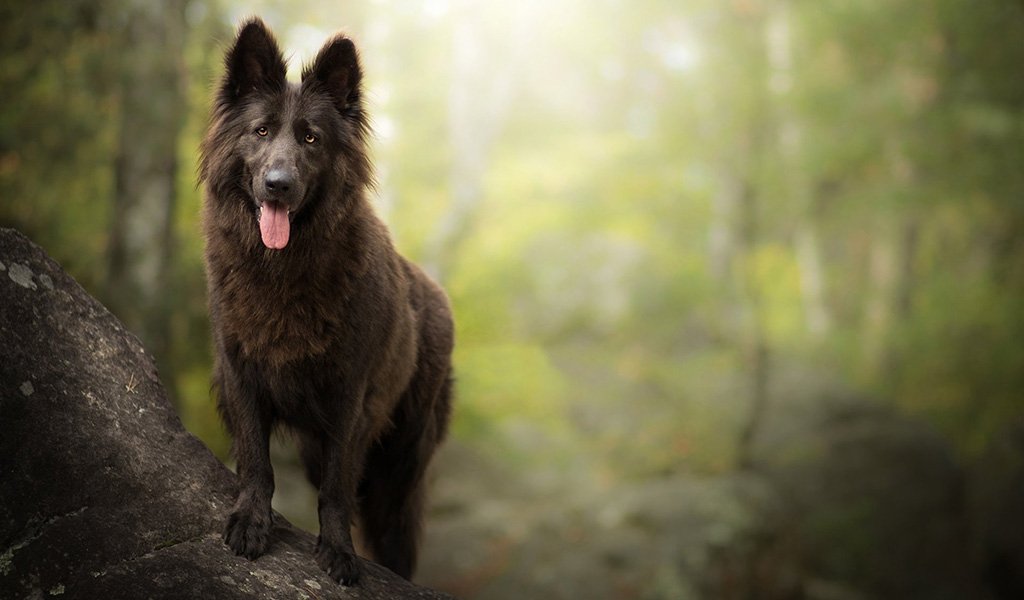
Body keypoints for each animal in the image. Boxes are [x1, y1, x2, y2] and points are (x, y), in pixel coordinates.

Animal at [197, 18, 454, 585]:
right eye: (261, 131)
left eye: (311, 138)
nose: (278, 185)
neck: (282, 272)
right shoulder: (240, 374)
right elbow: (256, 460)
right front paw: (252, 521)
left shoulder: (348, 400)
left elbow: (337, 489)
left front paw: (337, 551)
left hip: (400, 469)